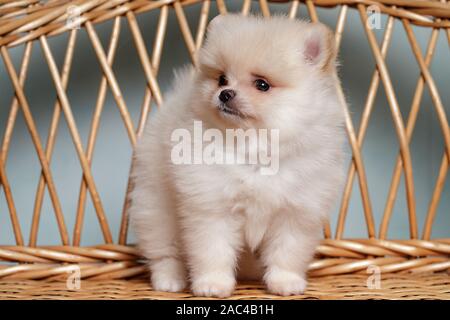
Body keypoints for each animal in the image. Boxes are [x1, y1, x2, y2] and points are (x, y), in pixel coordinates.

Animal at [128, 13, 346, 298]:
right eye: (222, 79)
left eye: (262, 84)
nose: (225, 93)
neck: (254, 147)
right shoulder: (211, 207)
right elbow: (213, 250)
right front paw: (212, 284)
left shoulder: (296, 212)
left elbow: (287, 252)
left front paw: (285, 282)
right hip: (156, 207)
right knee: (165, 251)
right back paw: (170, 280)